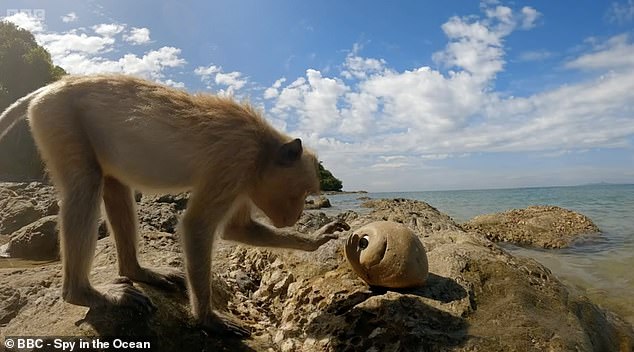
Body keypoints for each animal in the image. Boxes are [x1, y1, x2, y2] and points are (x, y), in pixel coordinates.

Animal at [0, 75, 348, 336]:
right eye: (301, 193)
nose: (298, 214)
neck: (262, 147)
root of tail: (52, 87)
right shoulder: (235, 161)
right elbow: (196, 227)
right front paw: (208, 319)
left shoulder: (244, 181)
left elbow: (238, 229)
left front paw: (317, 239)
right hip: (58, 118)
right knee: (86, 184)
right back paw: (83, 293)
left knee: (113, 184)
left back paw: (136, 271)